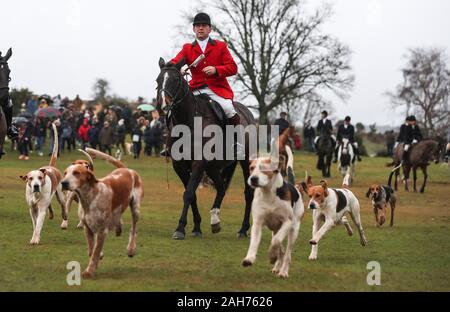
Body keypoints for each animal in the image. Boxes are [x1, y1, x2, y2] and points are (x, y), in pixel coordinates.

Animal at [61, 149, 142, 278]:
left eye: (76, 173)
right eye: (65, 173)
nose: (63, 183)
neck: (90, 198)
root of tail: (126, 170)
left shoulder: (102, 231)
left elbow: (95, 252)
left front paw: (89, 271)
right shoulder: (87, 228)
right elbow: (91, 250)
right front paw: (97, 258)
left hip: (136, 209)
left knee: (134, 229)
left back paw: (131, 249)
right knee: (119, 218)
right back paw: (119, 228)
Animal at [156, 57, 255, 240]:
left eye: (176, 80)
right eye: (158, 80)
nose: (162, 105)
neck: (188, 121)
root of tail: (247, 112)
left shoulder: (199, 163)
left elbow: (188, 193)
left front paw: (180, 228)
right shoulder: (179, 165)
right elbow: (192, 194)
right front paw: (196, 227)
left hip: (245, 161)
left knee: (248, 193)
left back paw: (243, 229)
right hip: (213, 167)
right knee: (221, 188)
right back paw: (215, 221)